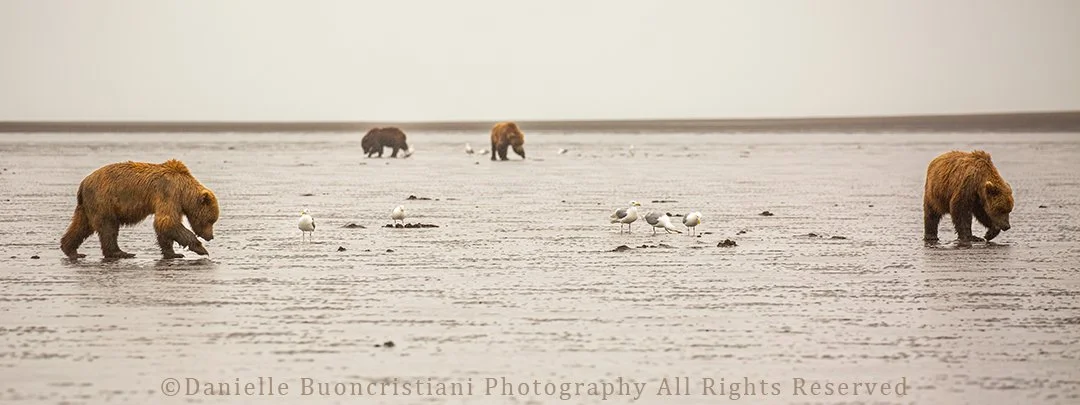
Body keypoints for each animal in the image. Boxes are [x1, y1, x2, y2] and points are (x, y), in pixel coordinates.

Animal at [60, 159, 220, 260]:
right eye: (211, 220)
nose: (210, 236)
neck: (184, 191)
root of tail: (83, 183)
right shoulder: (169, 193)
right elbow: (166, 222)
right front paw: (201, 249)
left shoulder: (175, 202)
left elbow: (165, 226)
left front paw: (173, 253)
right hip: (103, 200)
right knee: (108, 227)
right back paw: (120, 252)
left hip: (88, 205)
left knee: (81, 226)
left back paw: (71, 251)